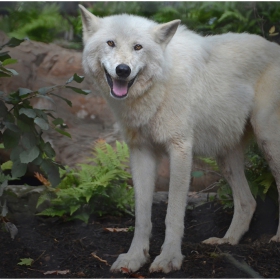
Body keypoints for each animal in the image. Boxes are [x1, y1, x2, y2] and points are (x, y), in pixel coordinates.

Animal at [78, 4, 280, 274]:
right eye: (110, 43)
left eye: (138, 47)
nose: (123, 70)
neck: (158, 87)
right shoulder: (141, 152)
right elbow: (142, 216)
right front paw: (135, 258)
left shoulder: (181, 149)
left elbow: (172, 213)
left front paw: (168, 259)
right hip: (226, 156)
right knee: (248, 202)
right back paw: (227, 241)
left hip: (268, 142)